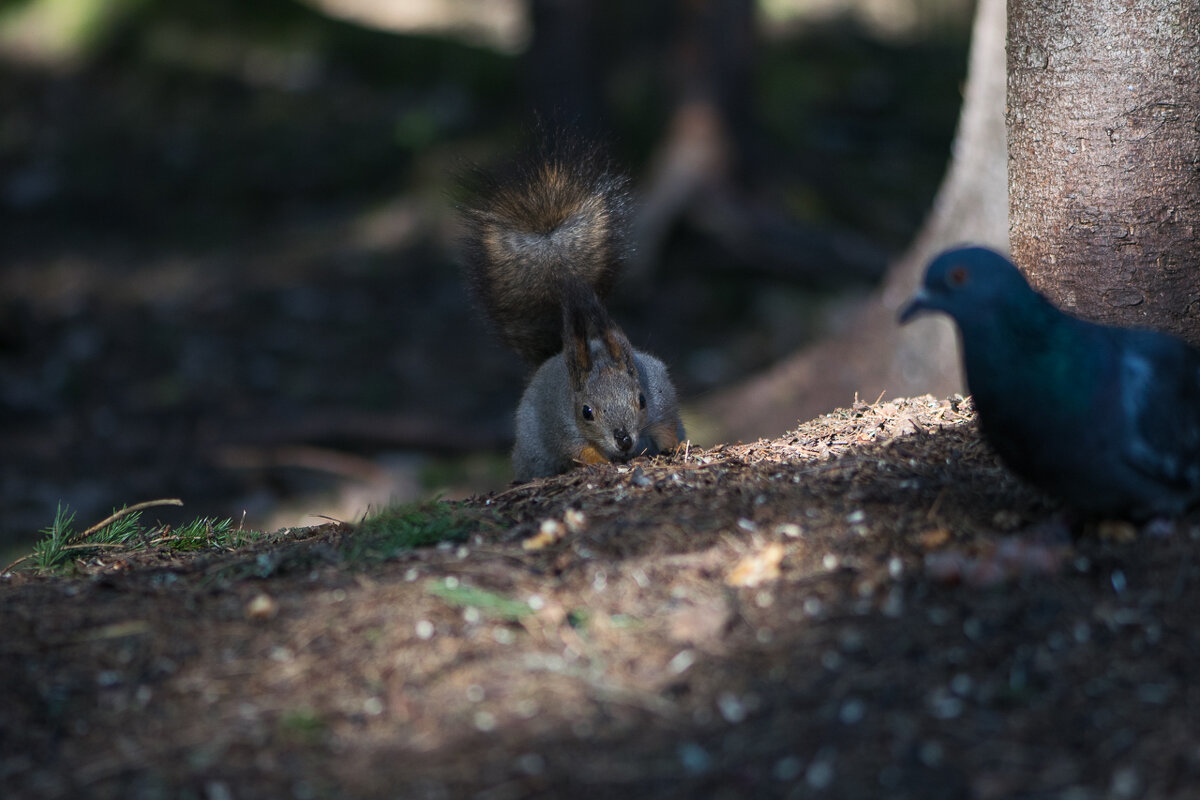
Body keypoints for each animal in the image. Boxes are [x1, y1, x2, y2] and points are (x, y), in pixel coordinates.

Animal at [458, 148, 686, 482]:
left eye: (642, 399)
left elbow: (665, 427)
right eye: (585, 412)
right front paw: (603, 461)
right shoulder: (563, 429)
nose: (623, 439)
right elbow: (582, 451)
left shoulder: (662, 399)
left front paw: (673, 447)